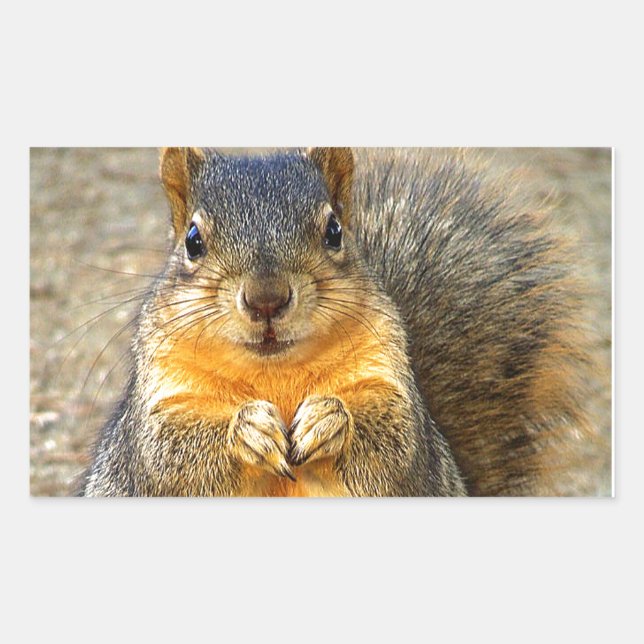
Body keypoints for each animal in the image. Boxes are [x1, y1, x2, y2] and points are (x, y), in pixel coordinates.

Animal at [80, 147, 600, 497]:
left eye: (334, 231)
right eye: (192, 240)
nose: (267, 300)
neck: (274, 371)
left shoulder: (390, 379)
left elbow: (397, 441)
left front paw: (329, 420)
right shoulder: (160, 402)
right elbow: (167, 452)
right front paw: (248, 429)